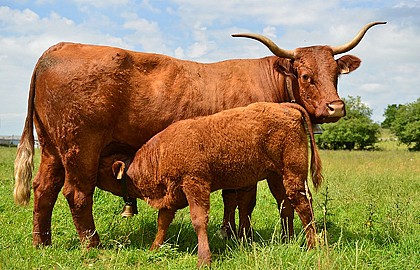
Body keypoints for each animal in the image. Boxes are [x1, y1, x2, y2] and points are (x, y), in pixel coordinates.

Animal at [101, 102, 322, 266]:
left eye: (102, 168)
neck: (161, 154)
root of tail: (286, 107)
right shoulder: (171, 196)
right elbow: (162, 222)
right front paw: (154, 248)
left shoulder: (195, 184)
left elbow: (199, 220)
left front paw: (204, 259)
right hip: (276, 177)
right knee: (286, 205)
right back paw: (288, 241)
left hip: (293, 175)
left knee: (303, 205)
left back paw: (312, 248)